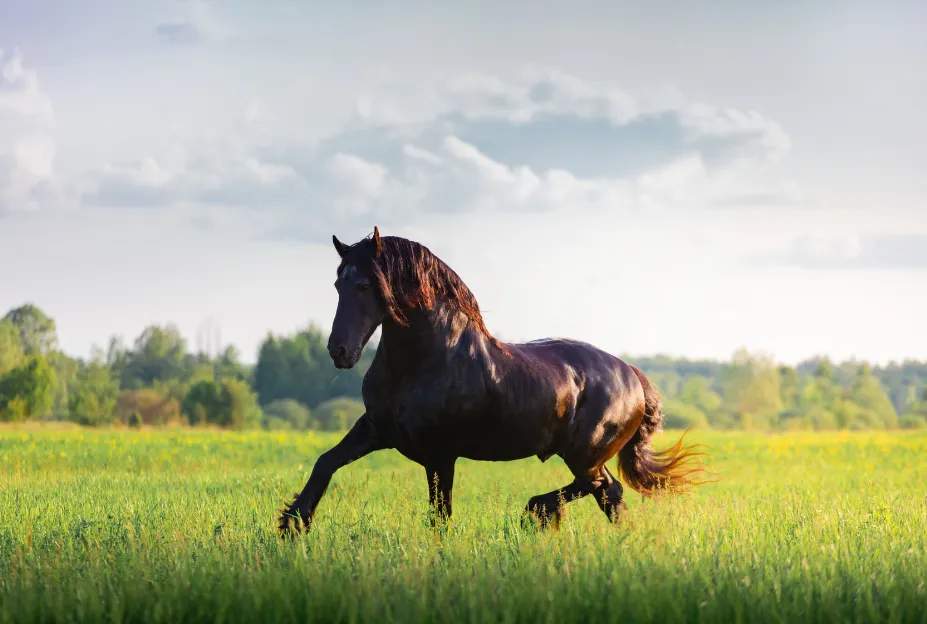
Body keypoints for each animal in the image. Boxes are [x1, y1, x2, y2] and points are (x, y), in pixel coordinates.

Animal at [278, 227, 709, 536]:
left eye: (366, 285)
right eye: (339, 283)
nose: (339, 351)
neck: (428, 360)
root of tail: (633, 376)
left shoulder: (440, 454)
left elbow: (440, 515)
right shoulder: (376, 429)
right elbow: (326, 462)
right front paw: (293, 524)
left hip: (585, 453)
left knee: (604, 489)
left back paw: (537, 512)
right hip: (582, 455)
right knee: (606, 494)